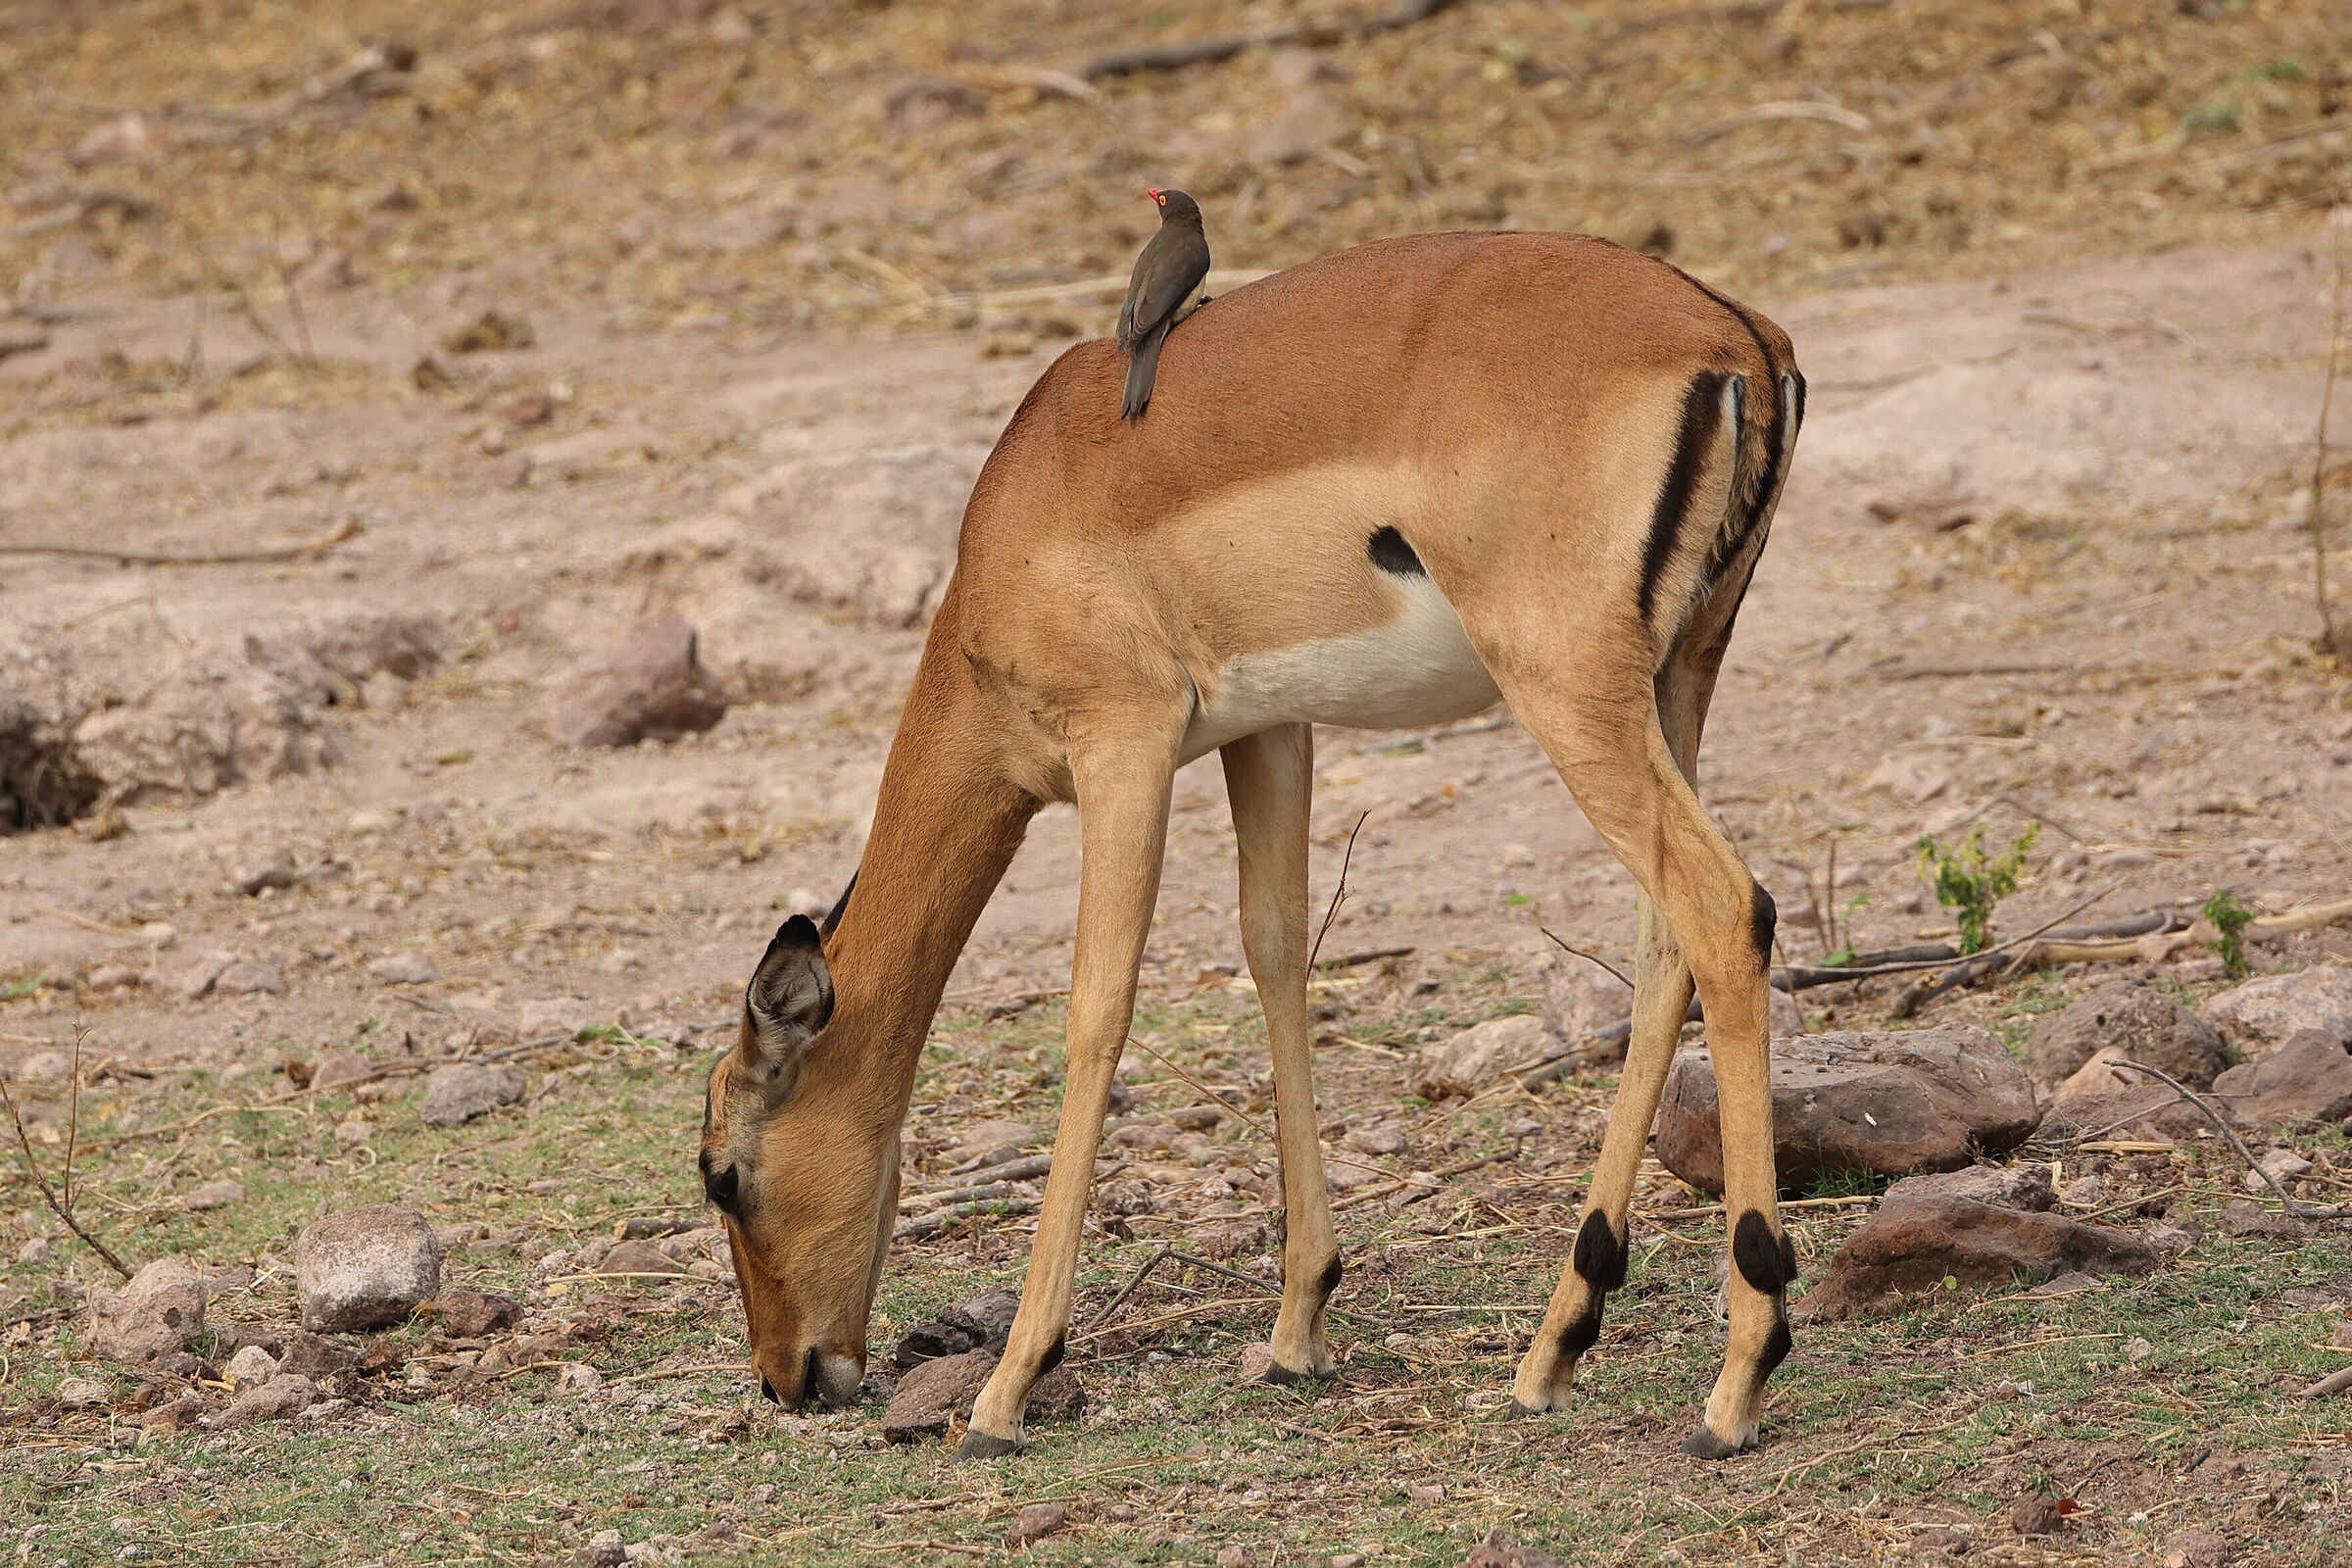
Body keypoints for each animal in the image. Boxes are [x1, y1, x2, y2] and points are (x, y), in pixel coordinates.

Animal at [698, 229, 1804, 1460]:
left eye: (722, 1174)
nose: (787, 1377)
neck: (1021, 520)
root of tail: (1731, 332)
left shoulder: (1123, 745)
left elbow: (1098, 1012)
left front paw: (1008, 1385)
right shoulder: (1269, 731)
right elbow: (1277, 953)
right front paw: (1294, 1330)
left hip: (1569, 689)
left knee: (1726, 906)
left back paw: (1737, 1382)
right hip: (1675, 679)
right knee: (1668, 939)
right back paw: (1554, 1347)